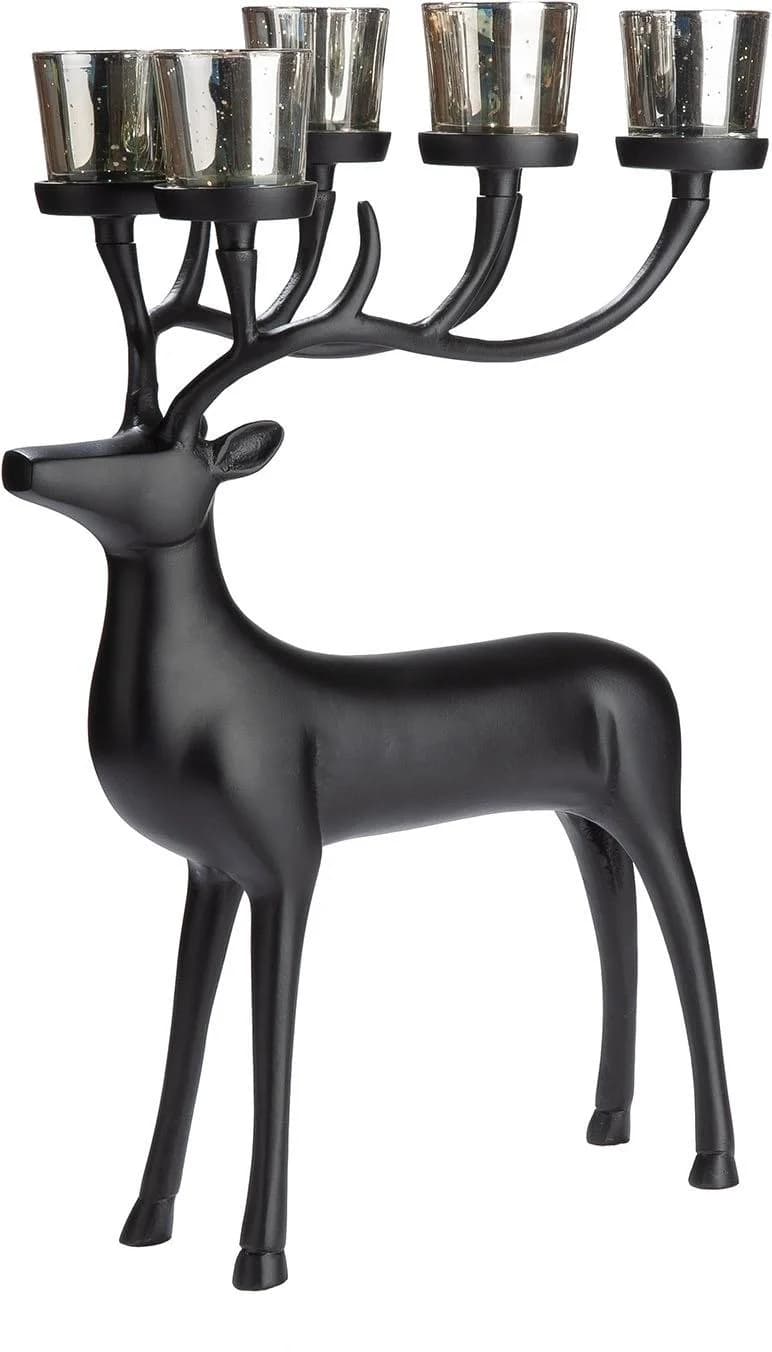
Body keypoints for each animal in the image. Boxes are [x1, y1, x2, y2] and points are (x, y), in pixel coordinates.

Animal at [3, 172, 736, 1291]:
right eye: (114, 422)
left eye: (160, 453)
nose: (23, 459)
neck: (216, 696)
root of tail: (646, 669)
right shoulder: (206, 867)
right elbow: (183, 1025)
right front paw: (143, 1220)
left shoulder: (289, 856)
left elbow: (271, 1034)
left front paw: (259, 1255)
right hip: (580, 808)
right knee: (613, 911)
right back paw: (606, 1121)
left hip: (657, 791)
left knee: (689, 926)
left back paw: (713, 1162)